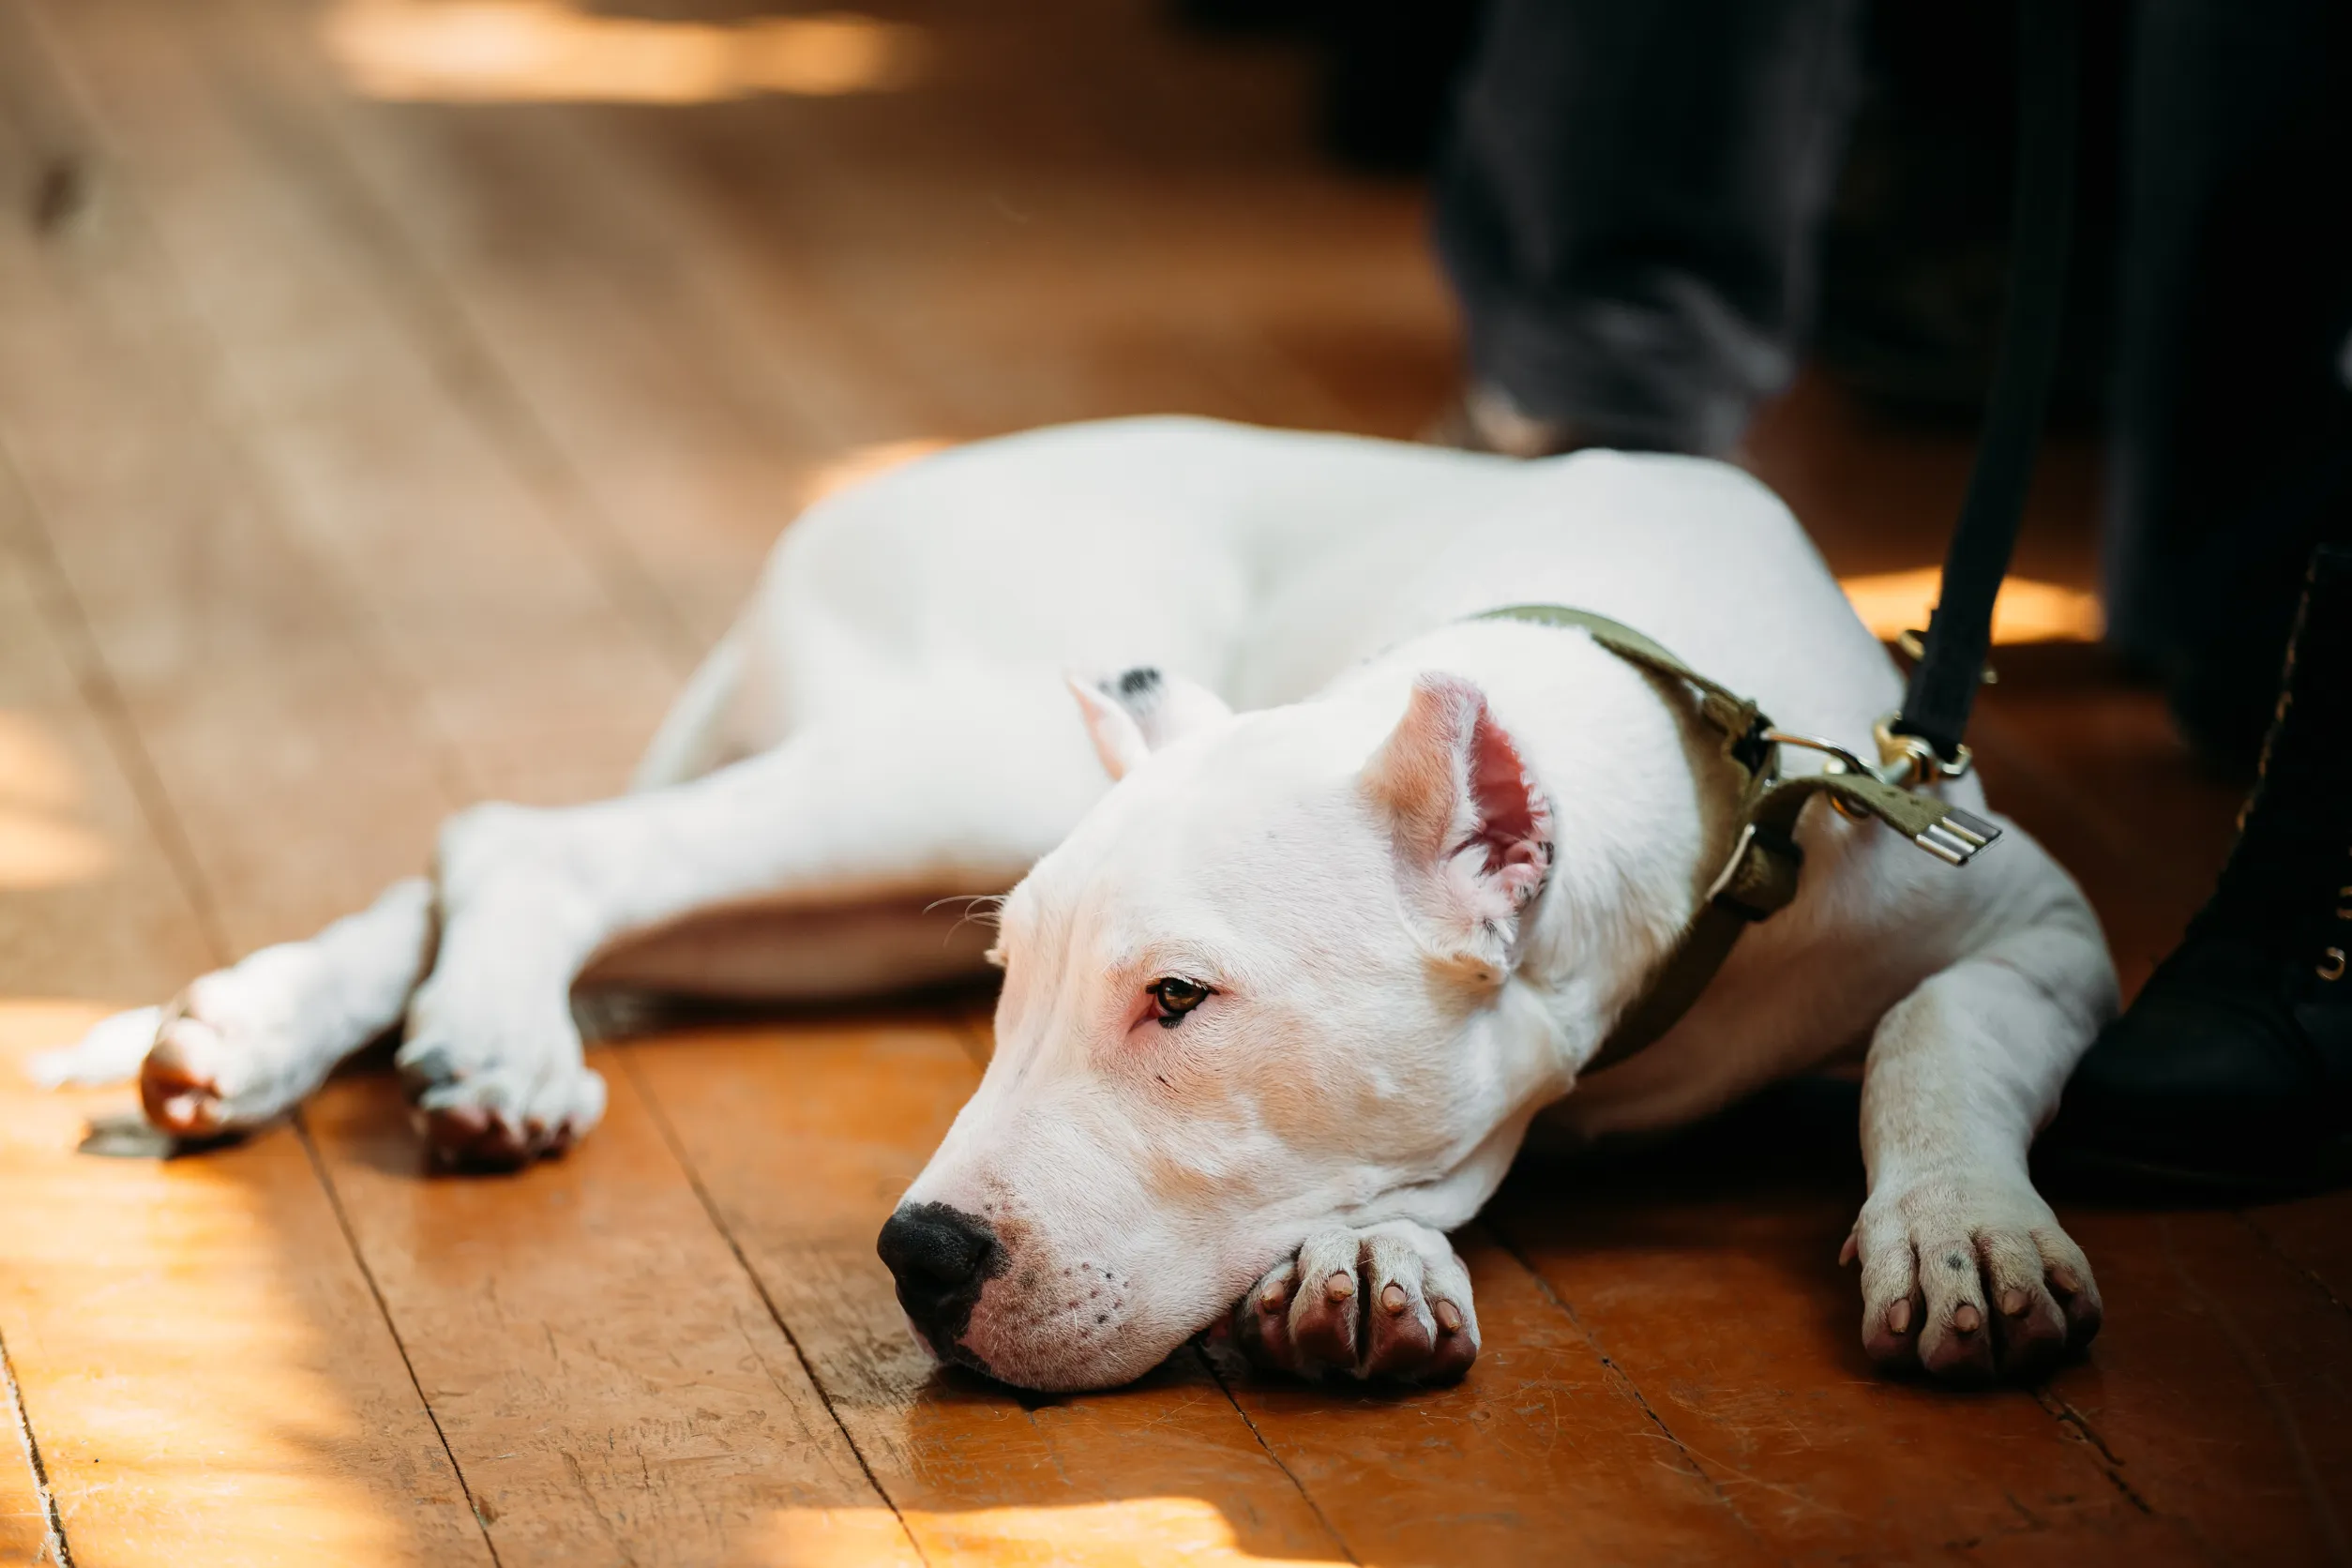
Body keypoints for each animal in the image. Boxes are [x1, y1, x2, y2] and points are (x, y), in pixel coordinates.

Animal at [41, 415, 2117, 1381]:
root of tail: (848, 506)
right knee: (529, 838)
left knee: (519, 866)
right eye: (1007, 987)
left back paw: (280, 1026)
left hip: (857, 875)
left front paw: (1960, 1230)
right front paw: (1373, 1253)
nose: (915, 1260)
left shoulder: (2034, 930)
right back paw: (471, 1038)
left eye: (1178, 1001)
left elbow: (1931, 1037)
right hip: (957, 752)